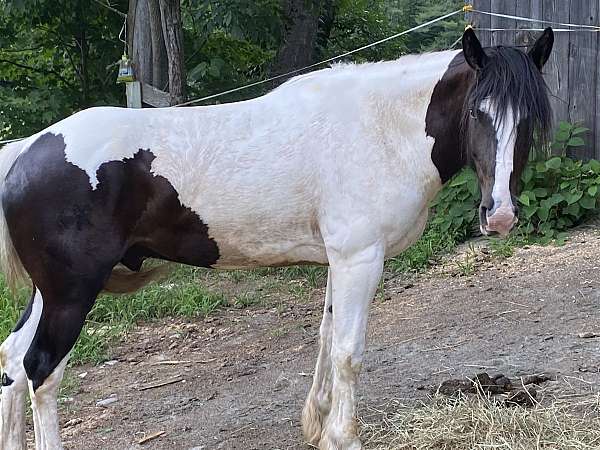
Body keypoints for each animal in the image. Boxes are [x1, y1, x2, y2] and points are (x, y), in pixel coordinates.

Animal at [0, 29, 552, 450]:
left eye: (527, 118)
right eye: (478, 112)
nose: (500, 214)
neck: (380, 128)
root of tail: (26, 150)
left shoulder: (340, 261)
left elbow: (327, 339)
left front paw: (319, 426)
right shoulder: (360, 259)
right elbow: (348, 350)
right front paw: (344, 437)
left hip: (51, 294)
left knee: (12, 362)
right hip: (72, 296)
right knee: (41, 371)